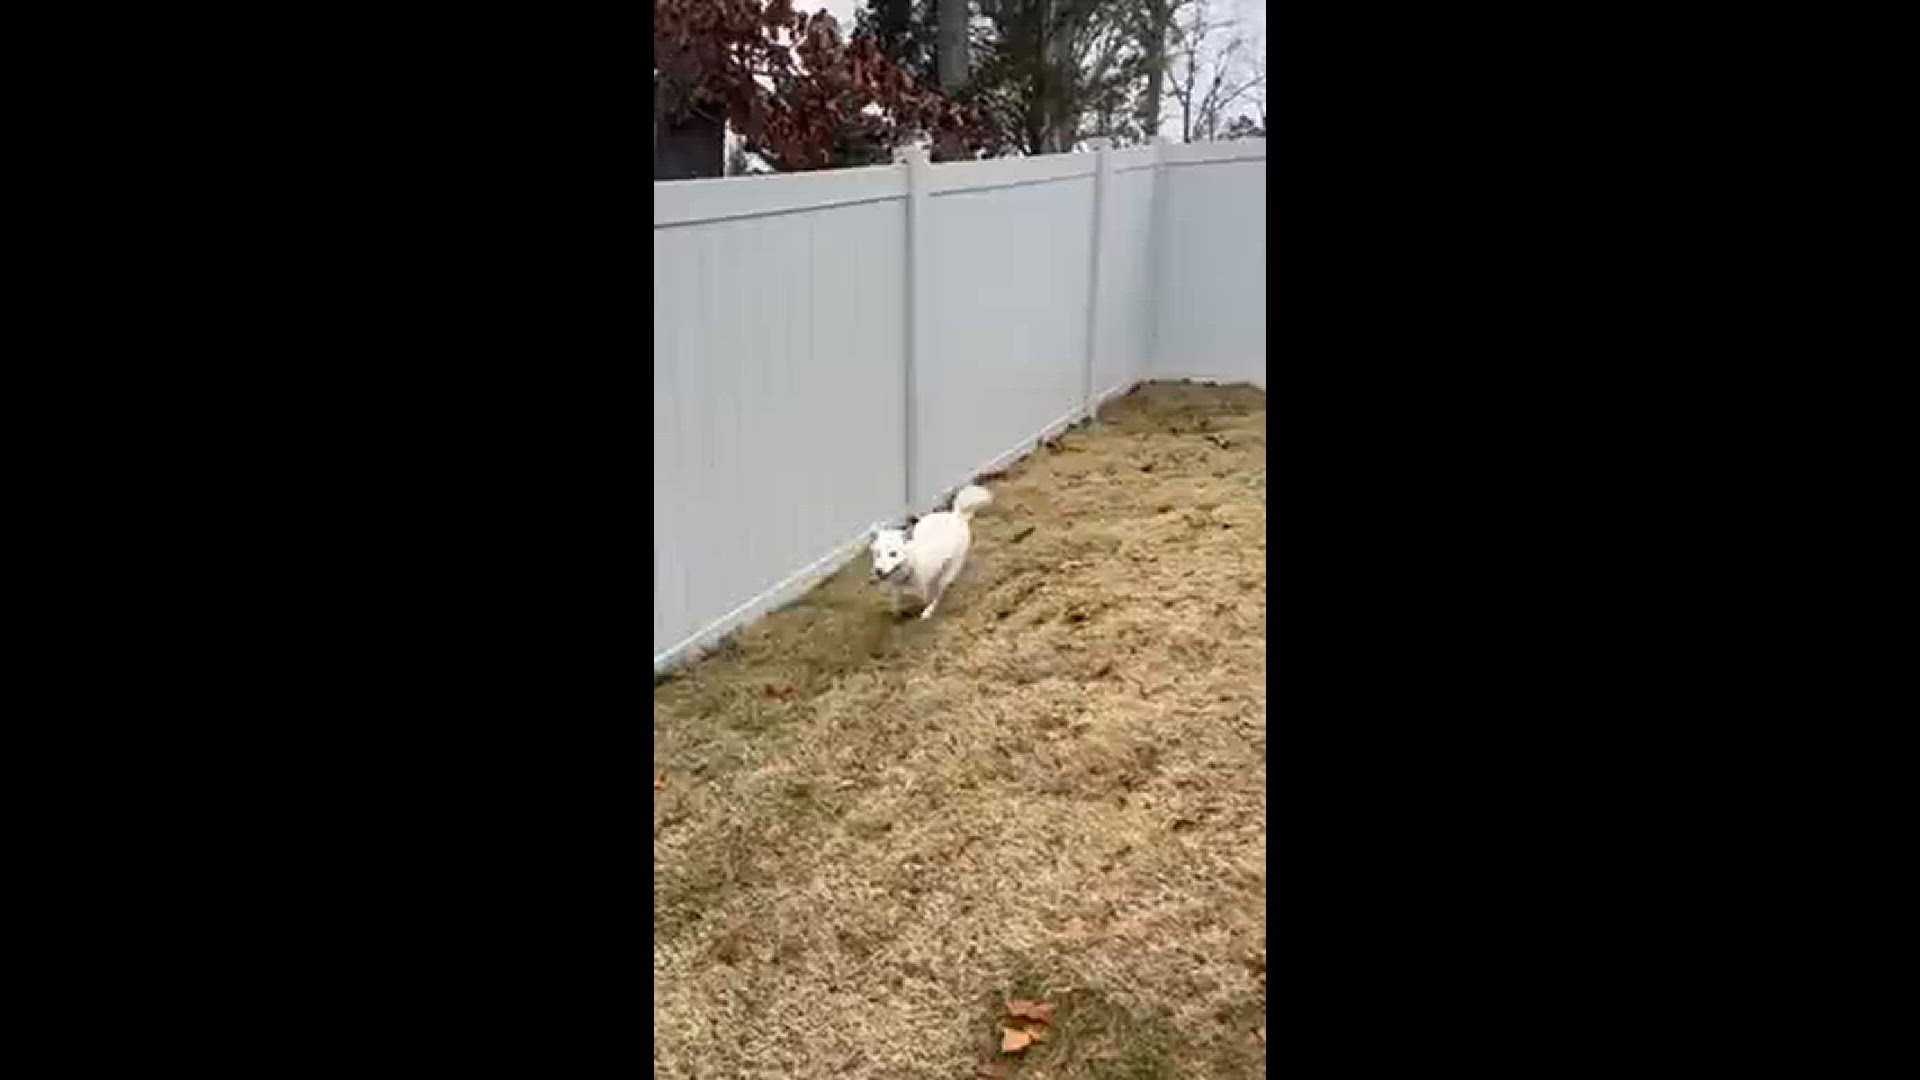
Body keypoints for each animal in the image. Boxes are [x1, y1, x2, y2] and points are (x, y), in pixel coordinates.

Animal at [867, 484, 990, 618]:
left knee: (942, 587)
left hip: (949, 569)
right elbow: (896, 601)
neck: (911, 564)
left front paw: (927, 610)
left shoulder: (927, 585)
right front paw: (896, 613)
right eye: (877, 554)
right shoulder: (896, 587)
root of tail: (955, 514)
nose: (878, 571)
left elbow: (929, 599)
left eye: (893, 554)